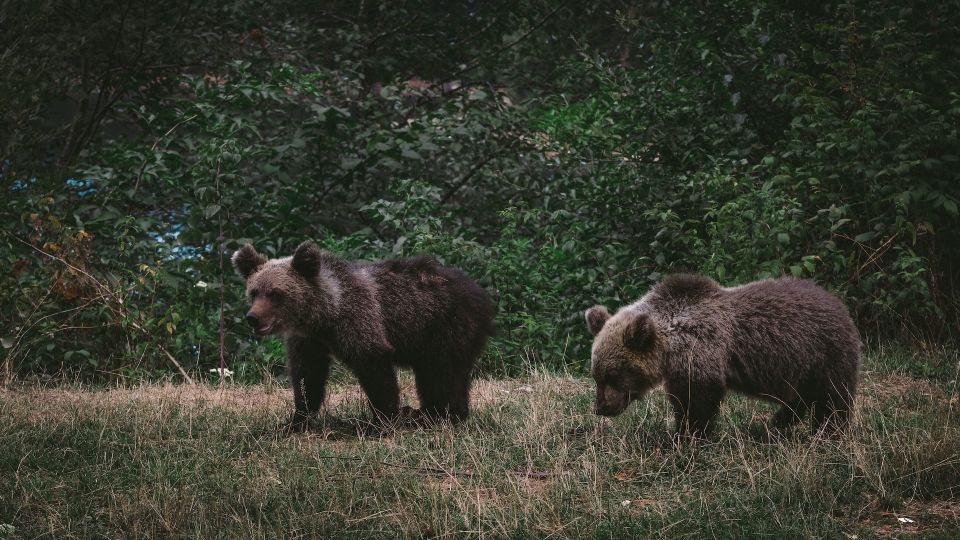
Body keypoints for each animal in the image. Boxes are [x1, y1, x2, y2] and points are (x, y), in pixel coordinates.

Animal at [584, 276, 864, 436]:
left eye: (613, 375)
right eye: (596, 375)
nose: (601, 408)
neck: (670, 344)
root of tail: (838, 302)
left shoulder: (701, 349)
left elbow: (696, 400)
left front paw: (687, 436)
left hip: (824, 353)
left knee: (831, 398)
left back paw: (827, 432)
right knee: (800, 397)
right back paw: (777, 422)